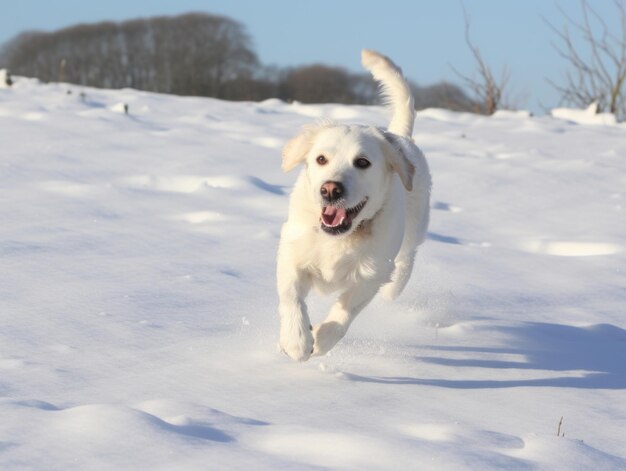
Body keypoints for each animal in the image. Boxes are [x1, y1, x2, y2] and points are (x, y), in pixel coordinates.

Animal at [276, 50, 428, 362]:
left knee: (407, 257)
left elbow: (345, 309)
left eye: (362, 162)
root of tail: (401, 136)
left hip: (413, 228)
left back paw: (396, 287)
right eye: (321, 159)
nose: (330, 189)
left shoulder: (371, 273)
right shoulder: (291, 251)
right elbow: (291, 295)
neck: (339, 237)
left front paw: (322, 339)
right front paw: (297, 339)